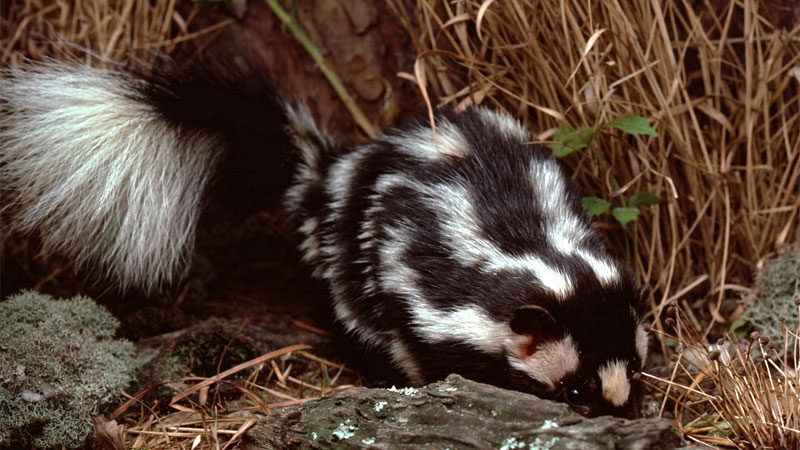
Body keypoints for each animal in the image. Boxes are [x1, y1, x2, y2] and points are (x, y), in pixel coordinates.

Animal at [0, 59, 648, 418]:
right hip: (348, 263)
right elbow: (422, 349)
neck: (533, 253)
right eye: (573, 391)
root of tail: (329, 175)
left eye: (635, 373)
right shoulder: (428, 296)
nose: (620, 415)